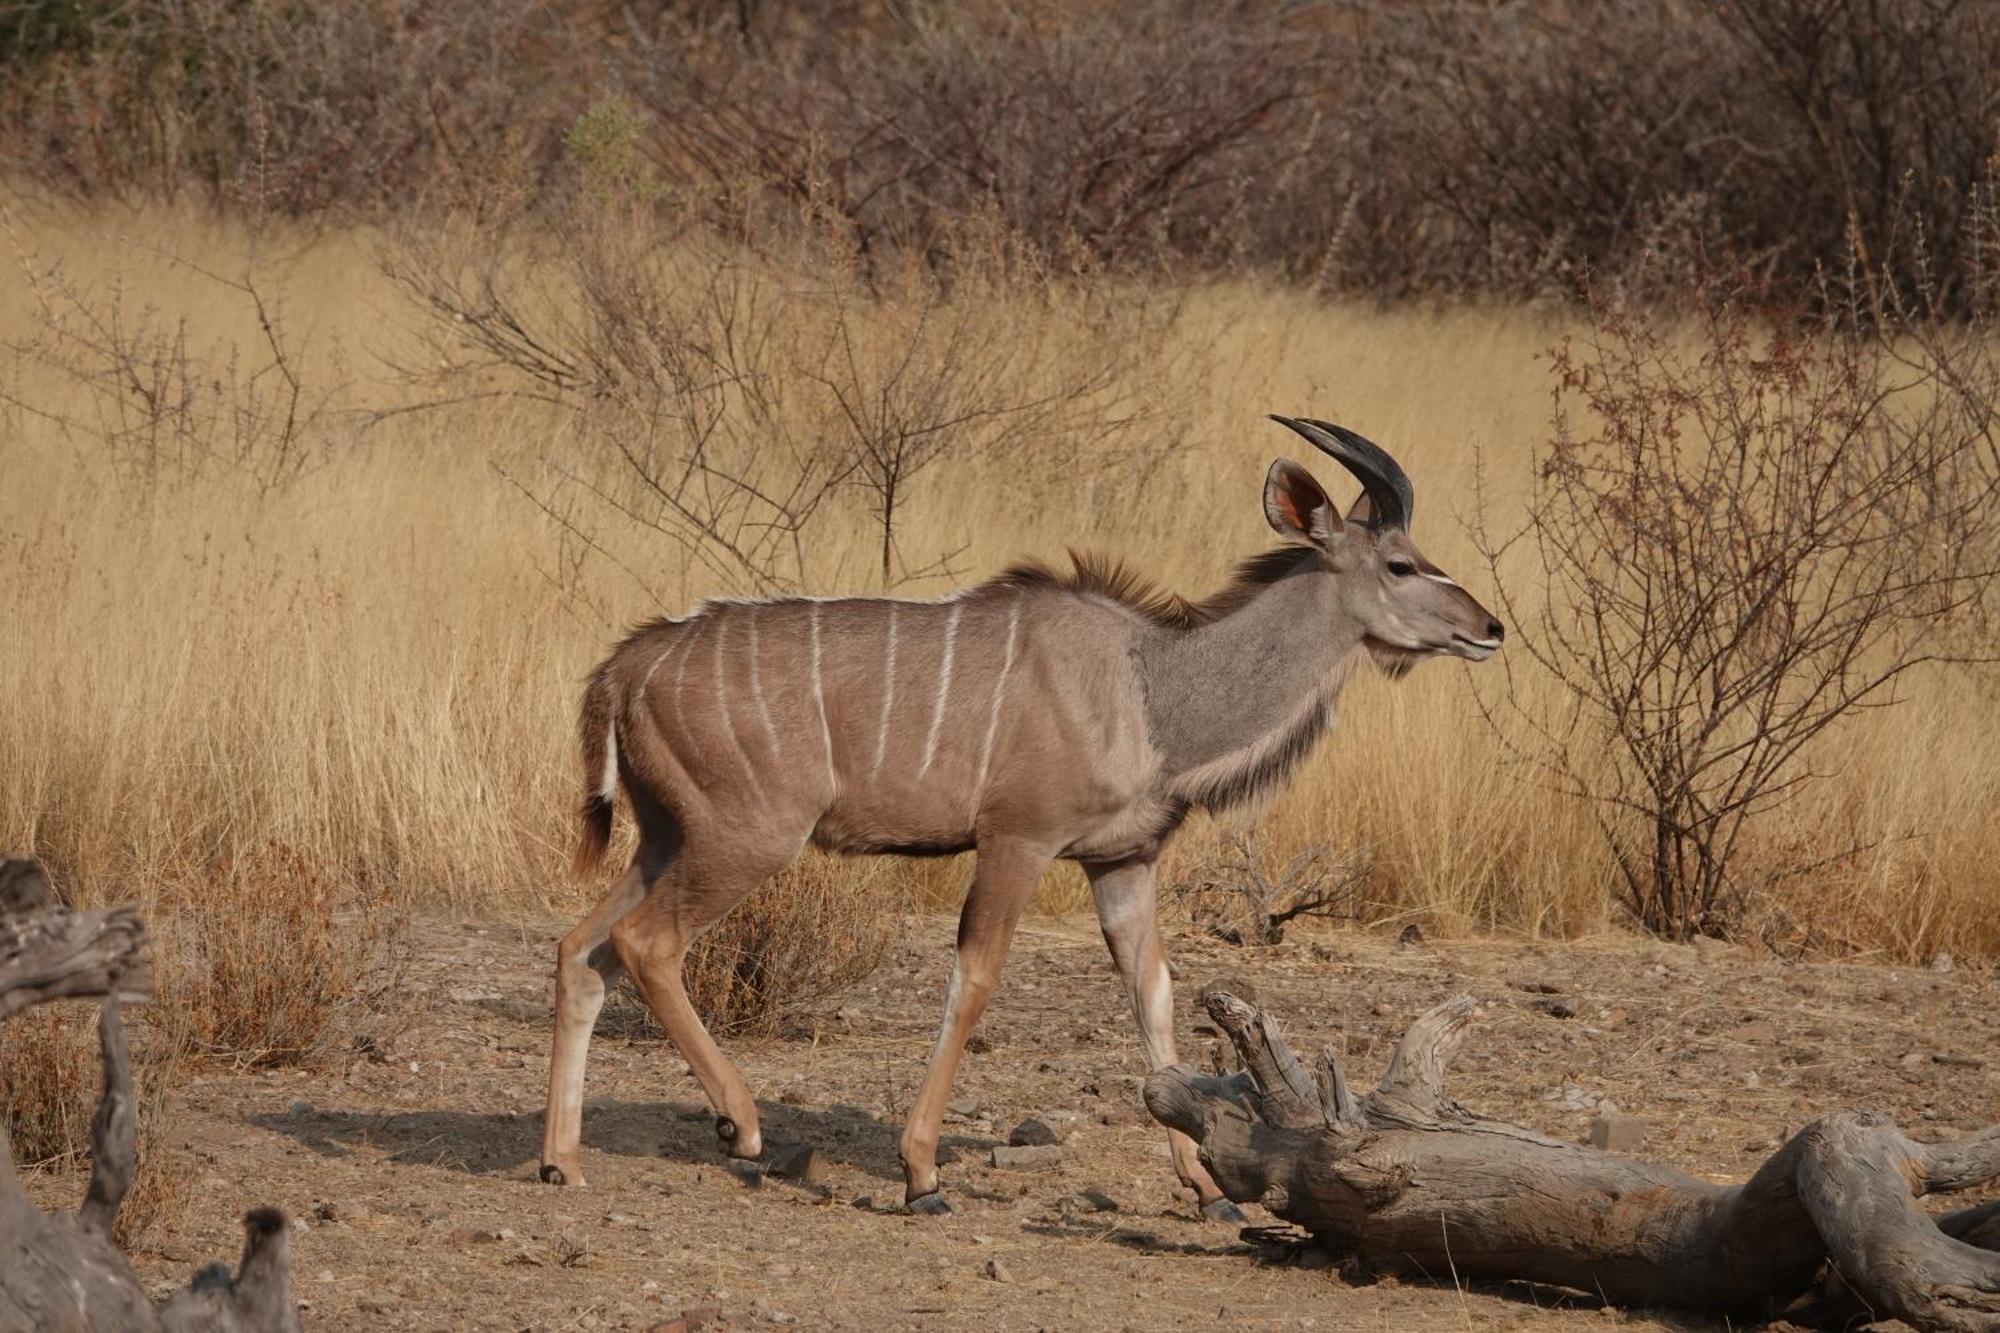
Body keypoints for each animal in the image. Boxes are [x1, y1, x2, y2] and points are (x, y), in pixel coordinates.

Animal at [540, 416, 1504, 1216]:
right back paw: (738, 1125)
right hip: (745, 839)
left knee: (581, 948)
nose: (1490, 627)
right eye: (1401, 563)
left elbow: (1152, 992)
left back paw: (563, 1160)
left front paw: (1209, 1192)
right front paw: (921, 1172)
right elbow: (976, 977)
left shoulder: (1122, 861)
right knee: (644, 944)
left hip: (668, 838)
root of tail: (622, 667)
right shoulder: (1019, 841)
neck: (1152, 687)